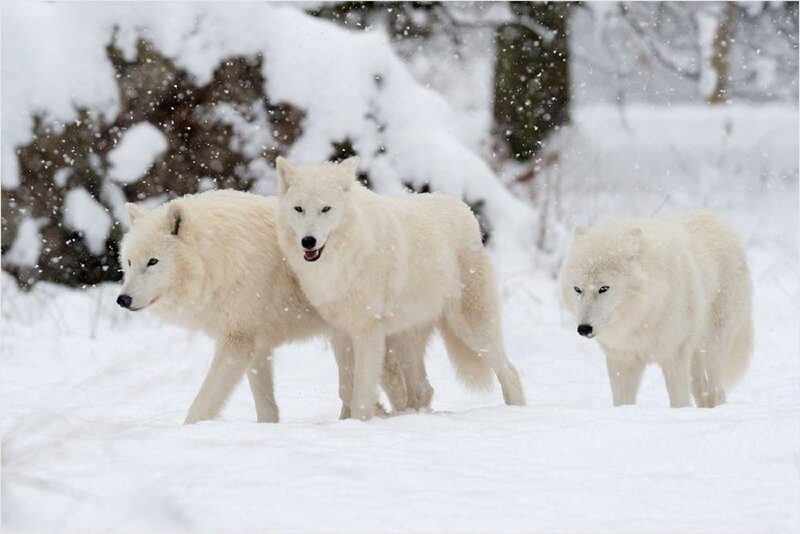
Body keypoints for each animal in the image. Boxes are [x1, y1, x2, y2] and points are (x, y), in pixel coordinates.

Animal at [117, 189, 433, 423]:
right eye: (129, 262)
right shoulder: (257, 345)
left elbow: (202, 403)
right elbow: (265, 404)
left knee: (406, 387)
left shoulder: (237, 340)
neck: (220, 256)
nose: (123, 300)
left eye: (153, 262)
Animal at [274, 156, 525, 420]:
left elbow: (361, 393)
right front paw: (347, 421)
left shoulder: (367, 332)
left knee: (509, 370)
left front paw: (360, 422)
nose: (308, 241)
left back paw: (516, 410)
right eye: (299, 209)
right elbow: (345, 390)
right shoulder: (340, 334)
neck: (344, 258)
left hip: (472, 330)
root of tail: (465, 210)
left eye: (326, 209)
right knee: (422, 388)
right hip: (405, 340)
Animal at [559, 210, 753, 408]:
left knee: (717, 390)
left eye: (603, 288)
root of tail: (713, 216)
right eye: (577, 289)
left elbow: (679, 402)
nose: (584, 329)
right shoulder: (621, 359)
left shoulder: (675, 355)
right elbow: (622, 402)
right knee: (701, 390)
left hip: (712, 349)